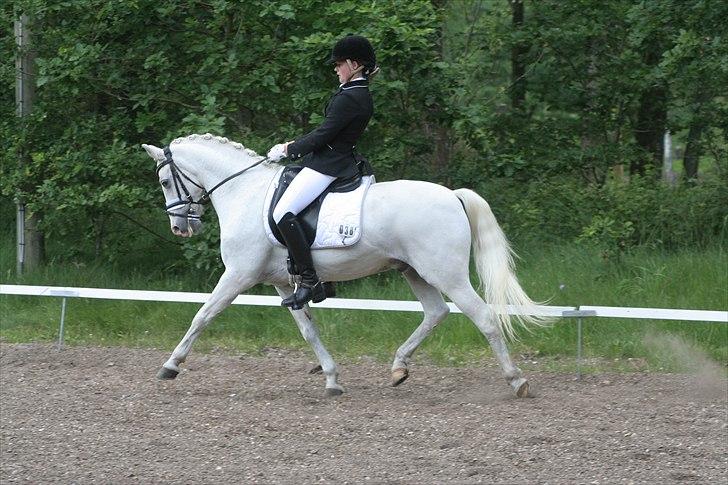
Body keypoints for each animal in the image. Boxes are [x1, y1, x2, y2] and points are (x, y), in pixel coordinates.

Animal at [141, 133, 550, 397]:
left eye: (164, 181)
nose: (181, 228)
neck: (244, 193)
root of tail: (452, 195)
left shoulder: (239, 275)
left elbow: (202, 315)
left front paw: (170, 366)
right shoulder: (285, 284)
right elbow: (308, 331)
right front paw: (332, 379)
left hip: (445, 273)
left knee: (483, 317)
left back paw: (517, 381)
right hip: (414, 271)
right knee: (436, 312)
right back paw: (399, 368)